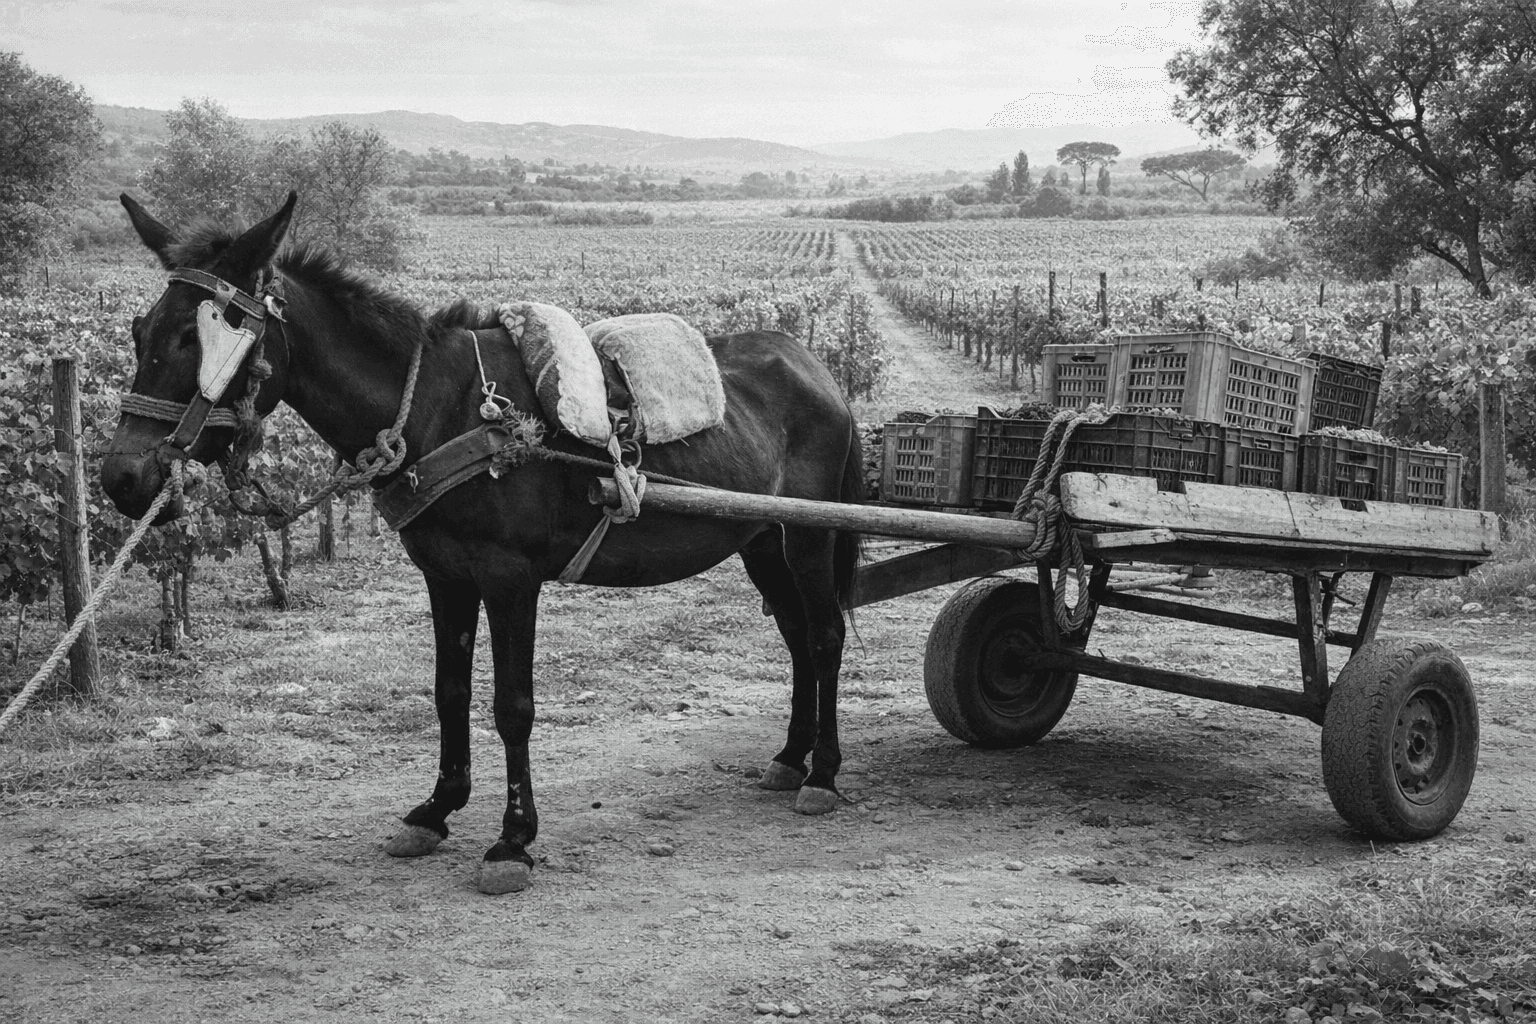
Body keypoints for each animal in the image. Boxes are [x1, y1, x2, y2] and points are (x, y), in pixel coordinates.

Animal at [101, 192, 864, 894]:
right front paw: (437, 810)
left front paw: (513, 839)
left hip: (808, 535)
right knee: (797, 636)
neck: (439, 410)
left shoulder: (509, 579)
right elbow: (449, 692)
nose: (122, 478)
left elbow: (512, 706)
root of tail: (813, 366)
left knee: (825, 635)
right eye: (139, 331)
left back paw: (823, 774)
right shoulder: (446, 576)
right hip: (760, 539)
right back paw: (790, 758)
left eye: (199, 336)